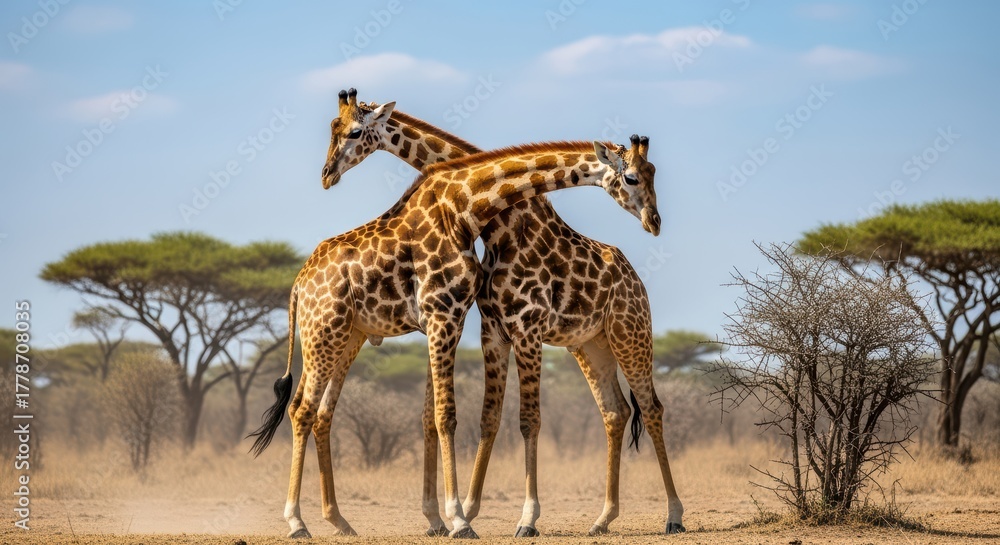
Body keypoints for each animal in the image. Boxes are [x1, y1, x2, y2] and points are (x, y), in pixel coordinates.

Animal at [249, 131, 662, 539]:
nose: (654, 221)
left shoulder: (462, 322)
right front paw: (461, 519)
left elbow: (440, 416)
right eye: (631, 177)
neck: (470, 211)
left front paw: (448, 517)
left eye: (351, 131)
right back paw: (299, 522)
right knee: (304, 410)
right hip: (327, 335)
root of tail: (298, 283)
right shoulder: (457, 320)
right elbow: (451, 415)